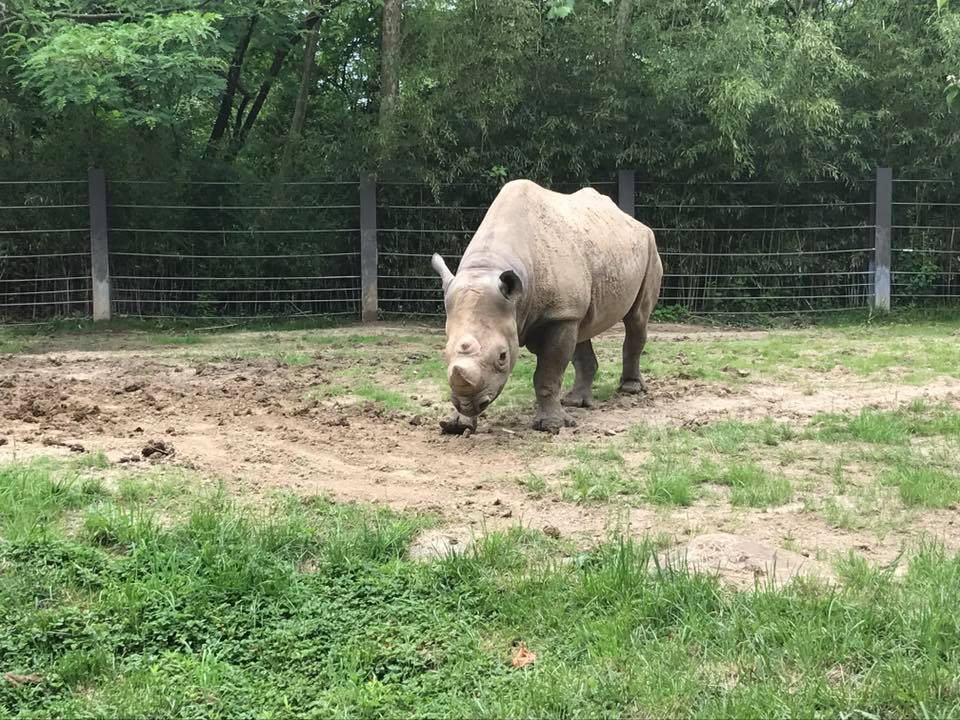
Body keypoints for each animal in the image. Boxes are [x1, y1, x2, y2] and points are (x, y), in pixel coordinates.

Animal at [431, 179, 663, 434]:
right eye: (444, 353)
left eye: (503, 356)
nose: (469, 404)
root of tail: (632, 220)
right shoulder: (560, 309)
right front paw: (457, 425)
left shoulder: (558, 315)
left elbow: (548, 373)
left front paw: (551, 426)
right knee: (582, 330)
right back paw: (575, 403)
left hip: (649, 246)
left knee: (636, 319)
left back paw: (630, 390)